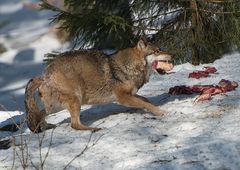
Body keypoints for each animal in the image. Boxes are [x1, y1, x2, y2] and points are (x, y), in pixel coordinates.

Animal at [25, 38, 172, 133]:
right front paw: (160, 112)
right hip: (75, 100)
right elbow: (145, 103)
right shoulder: (123, 98)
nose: (171, 55)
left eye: (160, 50)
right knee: (74, 125)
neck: (130, 66)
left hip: (56, 106)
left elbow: (146, 100)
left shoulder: (131, 94)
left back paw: (45, 126)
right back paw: (94, 129)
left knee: (41, 113)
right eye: (157, 51)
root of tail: (43, 76)